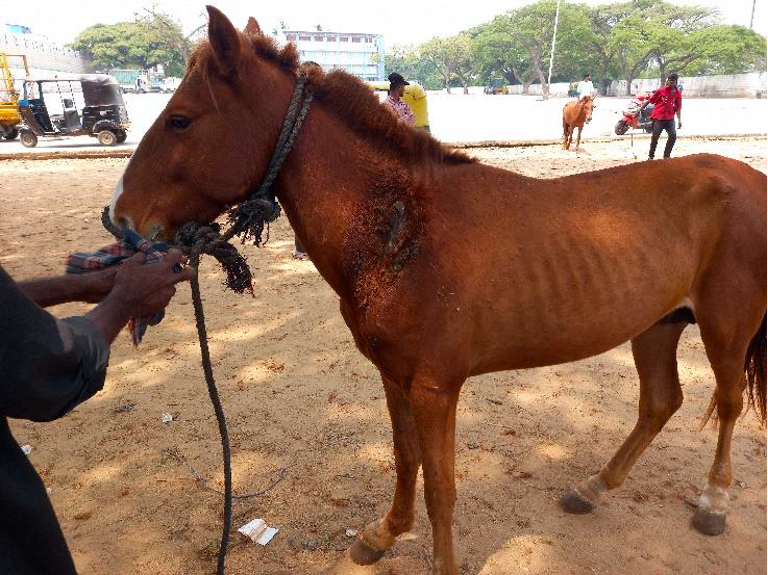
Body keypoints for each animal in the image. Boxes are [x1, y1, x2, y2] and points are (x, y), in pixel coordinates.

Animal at [111, 8, 767, 574]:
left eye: (180, 119)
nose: (119, 218)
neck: (405, 231)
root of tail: (748, 178)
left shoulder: (435, 387)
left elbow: (441, 488)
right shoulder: (394, 376)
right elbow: (407, 463)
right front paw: (381, 536)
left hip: (726, 327)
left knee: (729, 403)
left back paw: (713, 503)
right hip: (658, 324)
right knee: (660, 403)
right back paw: (593, 488)